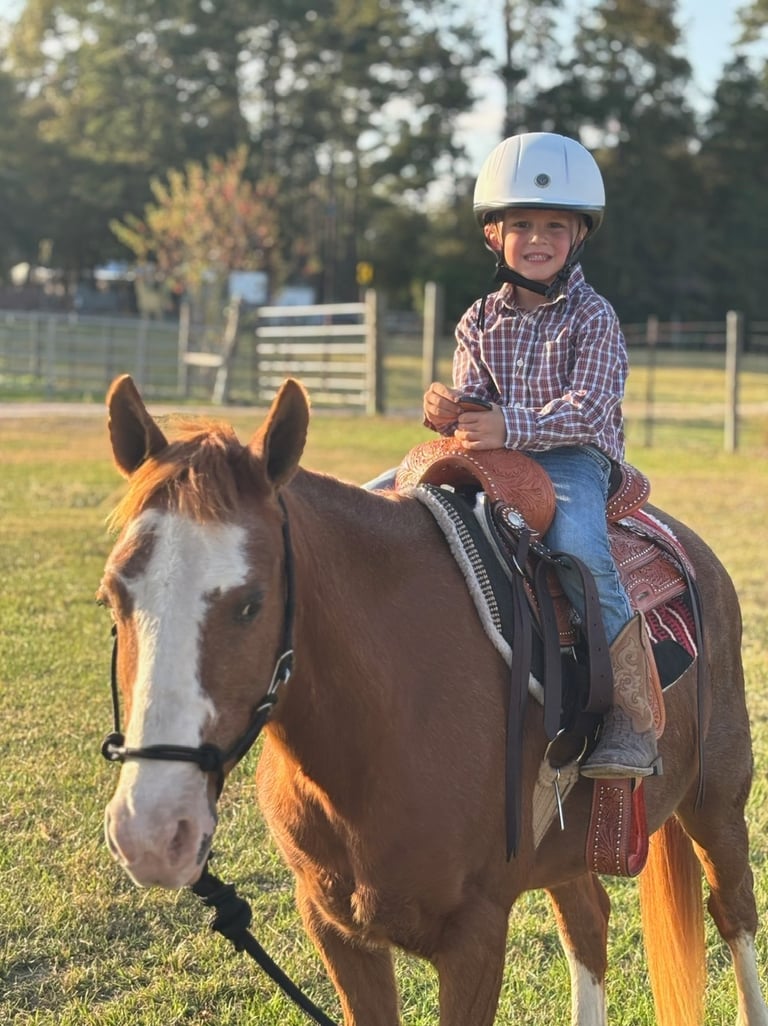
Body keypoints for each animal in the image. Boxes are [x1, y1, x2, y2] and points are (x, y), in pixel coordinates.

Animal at [99, 373, 767, 1026]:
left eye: (251, 603)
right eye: (112, 595)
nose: (151, 830)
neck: (377, 733)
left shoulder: (475, 935)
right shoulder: (334, 925)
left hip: (718, 802)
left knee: (734, 914)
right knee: (588, 921)